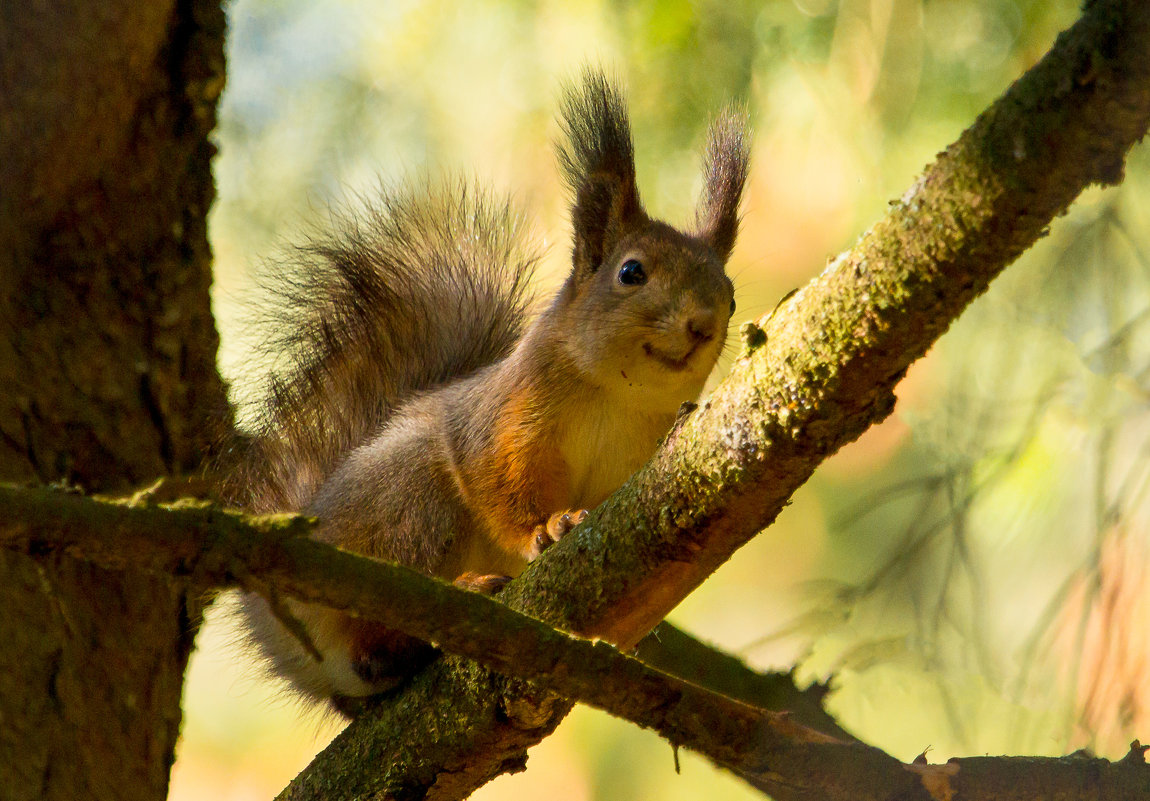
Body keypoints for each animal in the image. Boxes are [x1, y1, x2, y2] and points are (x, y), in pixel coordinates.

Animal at [227, 68, 749, 717]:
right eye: (631, 273)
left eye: (730, 295)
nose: (701, 324)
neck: (619, 398)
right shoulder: (502, 419)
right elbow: (497, 482)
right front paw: (542, 529)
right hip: (407, 502)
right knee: (373, 629)